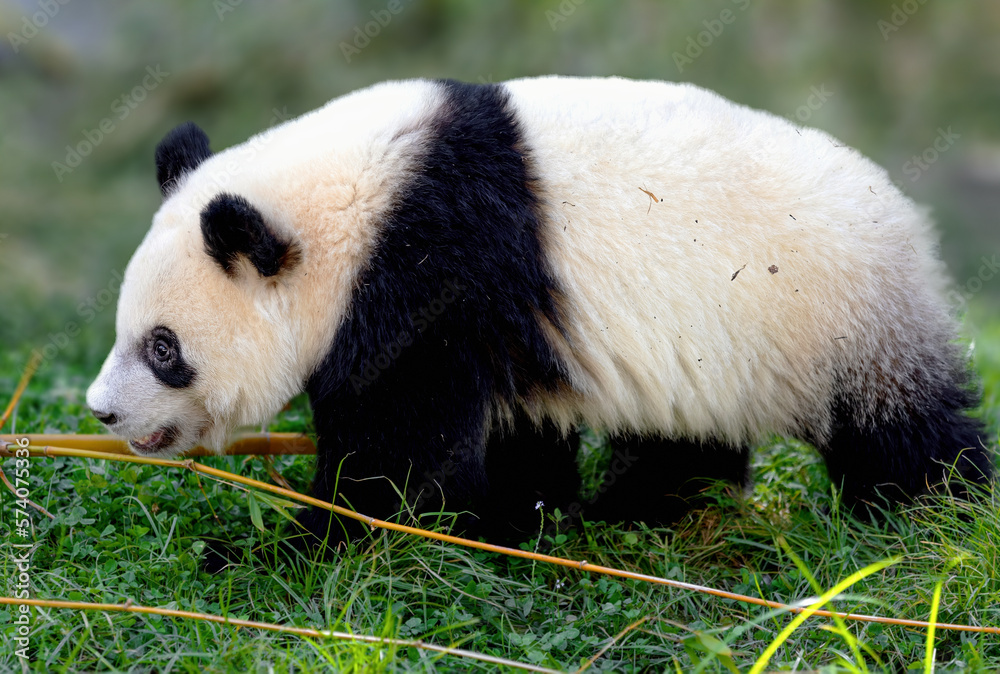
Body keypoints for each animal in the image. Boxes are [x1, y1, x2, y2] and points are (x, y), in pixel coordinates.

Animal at [86, 76, 993, 546]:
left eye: (163, 349)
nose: (101, 412)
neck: (355, 209)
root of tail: (907, 219)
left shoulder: (433, 270)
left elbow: (399, 447)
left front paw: (294, 544)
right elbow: (512, 426)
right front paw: (520, 515)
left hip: (833, 312)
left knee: (901, 429)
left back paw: (936, 516)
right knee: (683, 433)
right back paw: (643, 507)